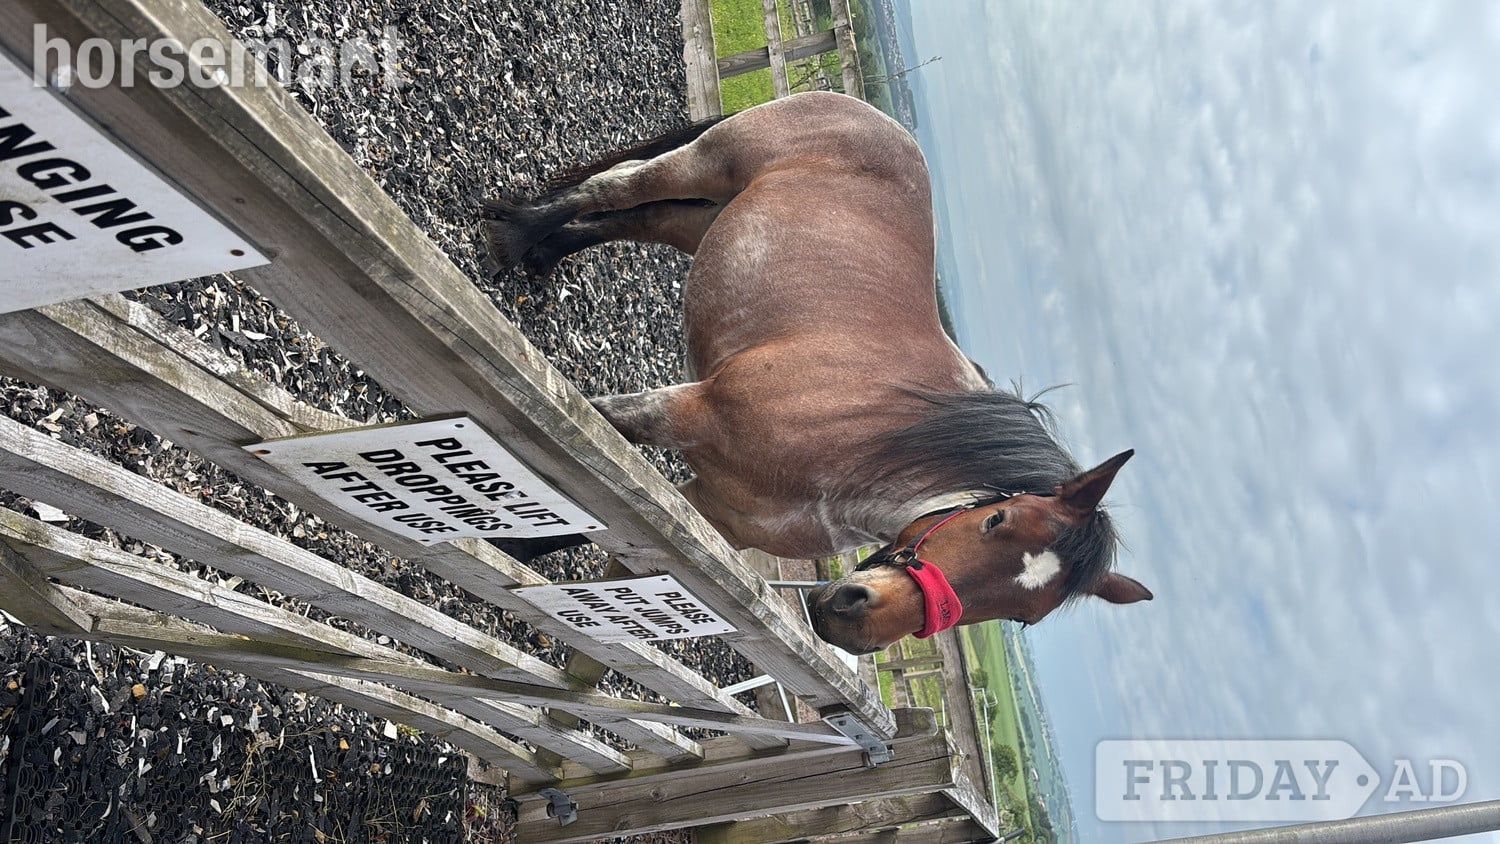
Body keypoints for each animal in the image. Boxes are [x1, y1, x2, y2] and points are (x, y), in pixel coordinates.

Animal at [484, 91, 1152, 654]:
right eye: (995, 520)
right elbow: (579, 458)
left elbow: (599, 520)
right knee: (615, 187)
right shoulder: (672, 412)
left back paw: (543, 252)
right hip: (706, 165)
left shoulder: (719, 512)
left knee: (635, 219)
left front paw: (507, 548)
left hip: (704, 221)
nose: (856, 618)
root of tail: (865, 111)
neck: (853, 446)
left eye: (1023, 615)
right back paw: (516, 235)